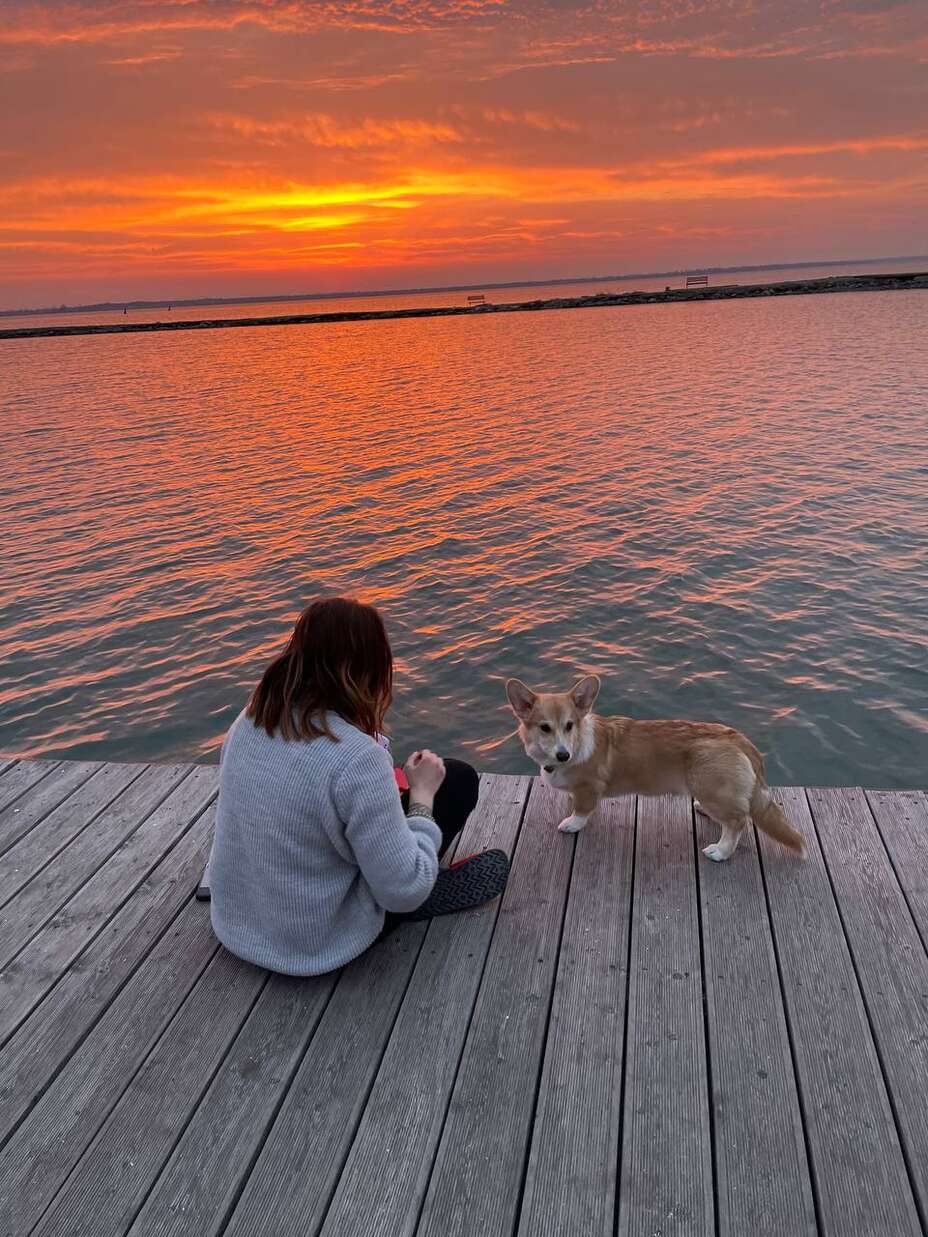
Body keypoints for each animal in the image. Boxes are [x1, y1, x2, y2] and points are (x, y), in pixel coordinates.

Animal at [504, 677, 801, 860]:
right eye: (545, 728)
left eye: (569, 725)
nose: (563, 755)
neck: (577, 745)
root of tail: (740, 740)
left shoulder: (589, 788)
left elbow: (581, 811)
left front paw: (572, 823)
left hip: (709, 787)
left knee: (739, 821)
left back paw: (721, 851)